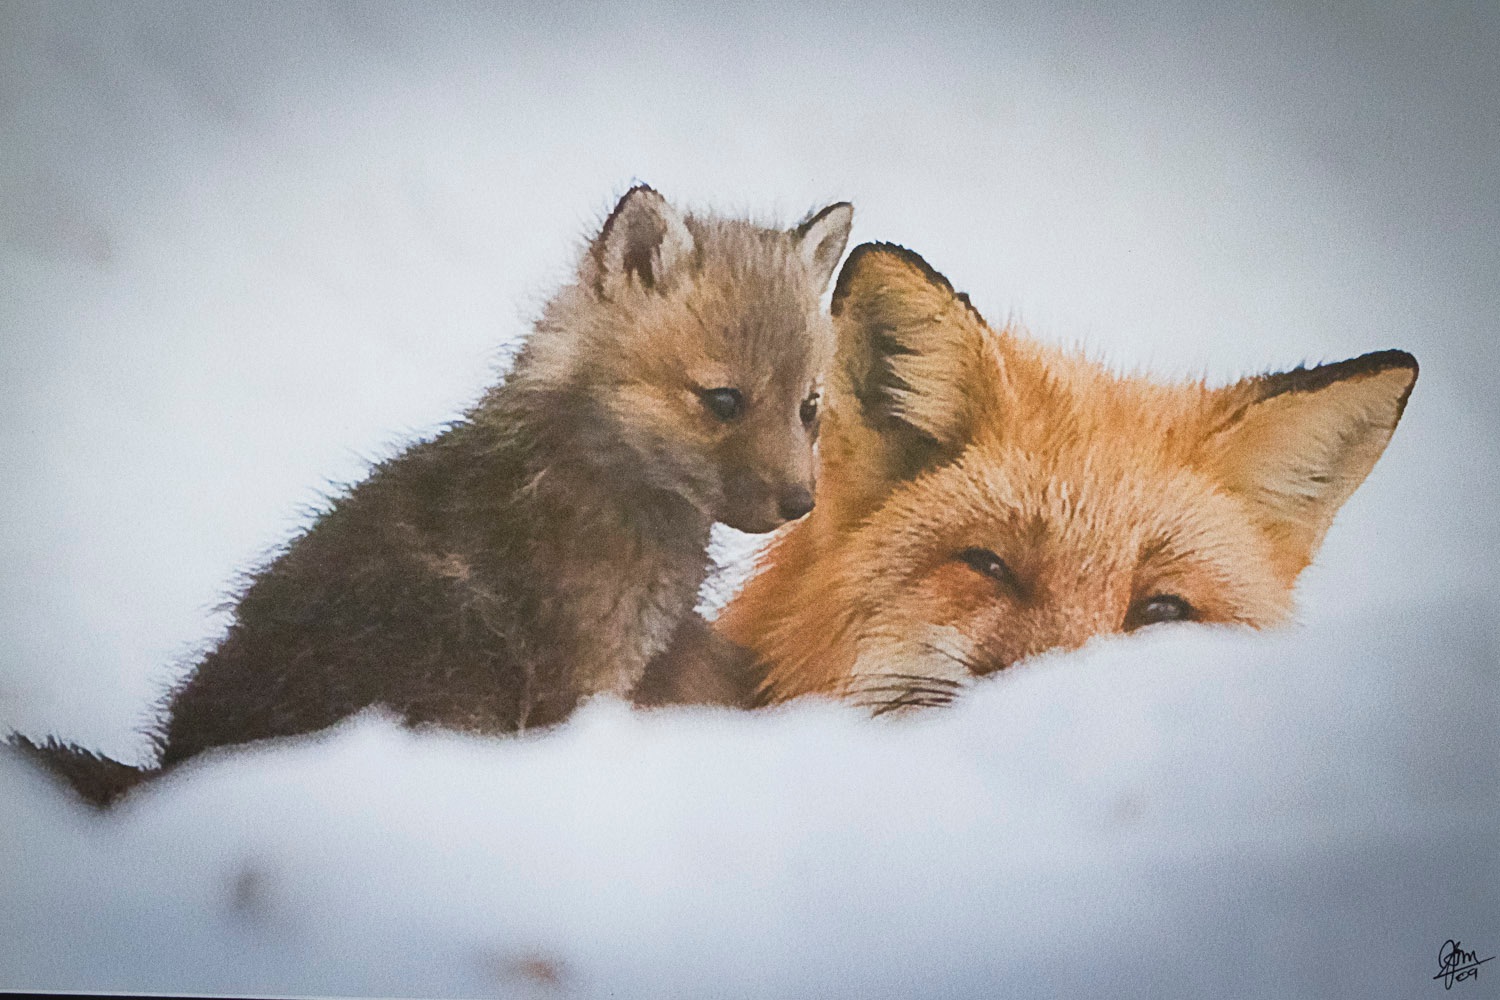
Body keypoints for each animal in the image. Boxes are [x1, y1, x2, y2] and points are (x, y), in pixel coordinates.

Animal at [8, 185, 858, 803]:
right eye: (723, 400)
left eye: (809, 407)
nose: (800, 504)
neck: (600, 470)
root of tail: (172, 768)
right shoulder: (579, 683)